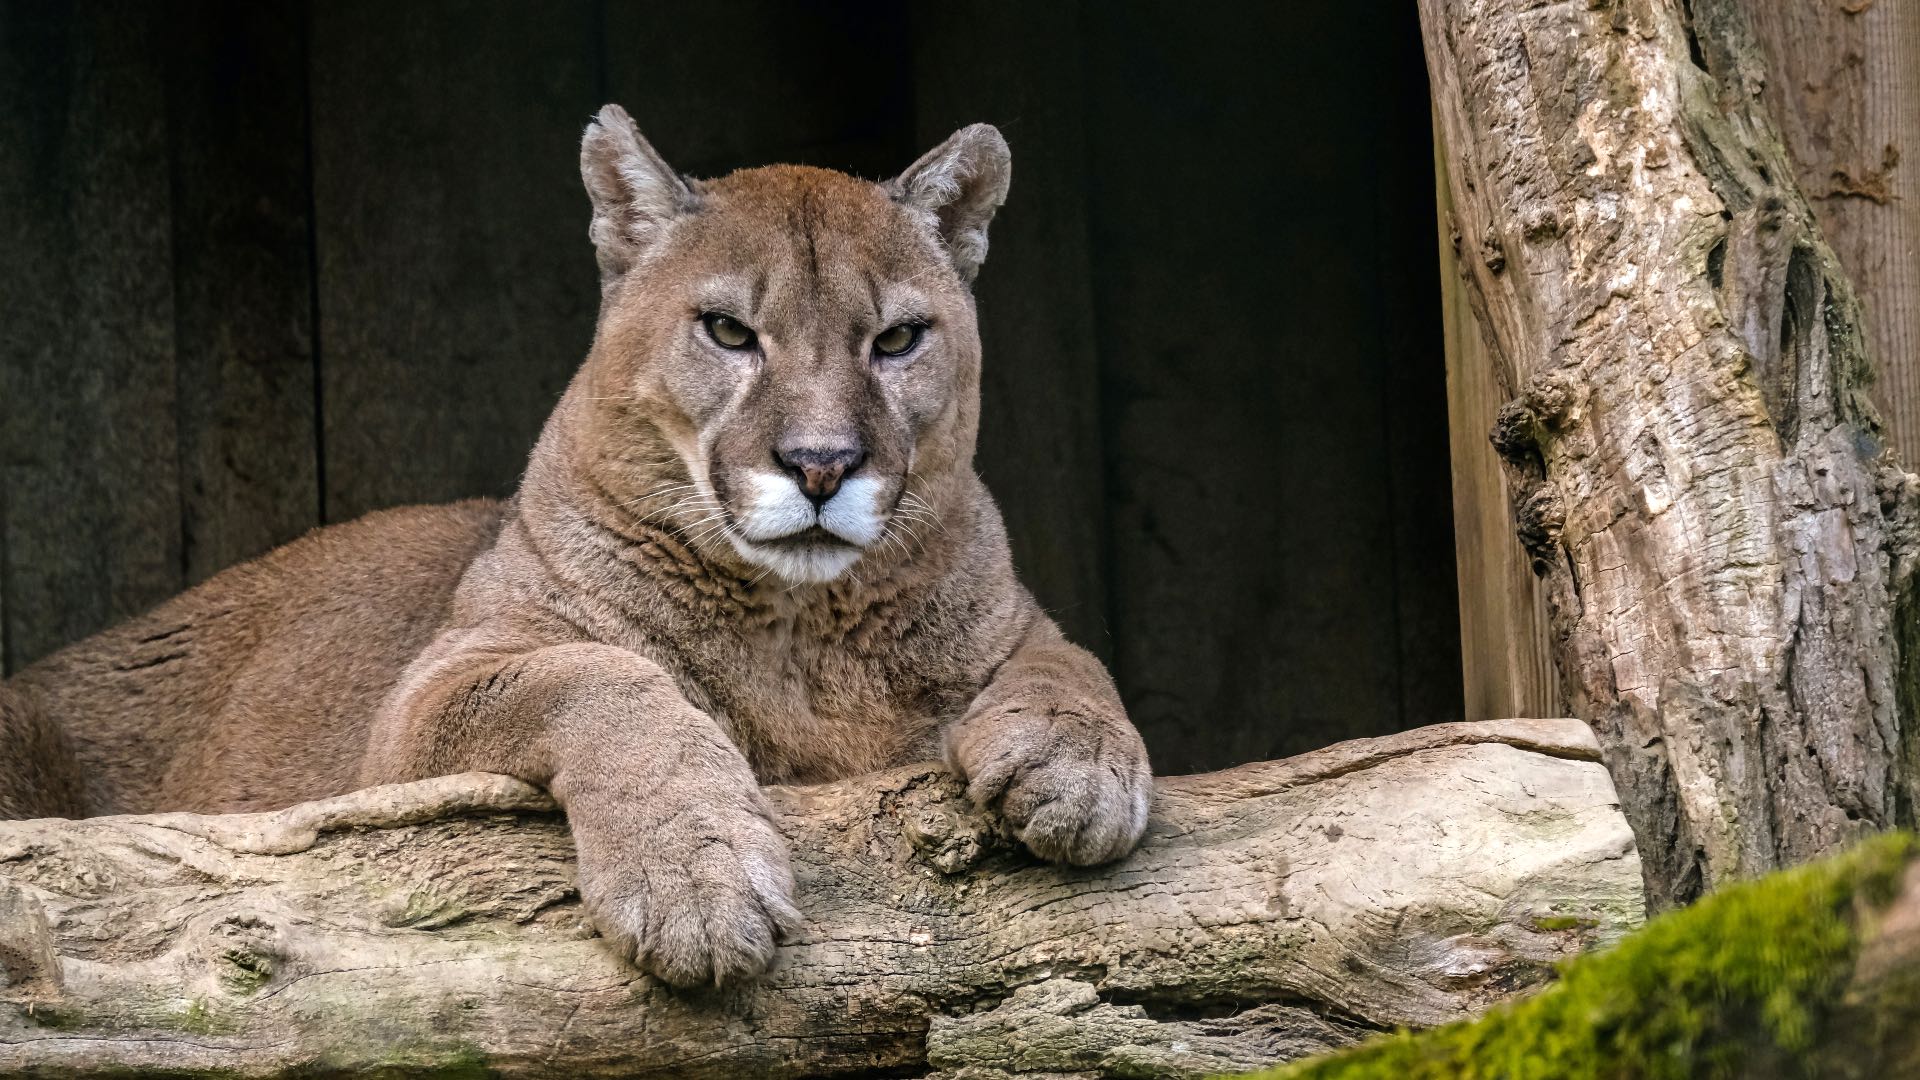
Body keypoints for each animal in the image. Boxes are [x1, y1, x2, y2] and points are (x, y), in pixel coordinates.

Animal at [0, 107, 1144, 983]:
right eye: (728, 332)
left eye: (899, 339)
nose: (821, 465)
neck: (798, 630)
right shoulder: (420, 711)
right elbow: (599, 675)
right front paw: (695, 877)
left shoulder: (1014, 619)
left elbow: (1070, 659)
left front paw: (1082, 770)